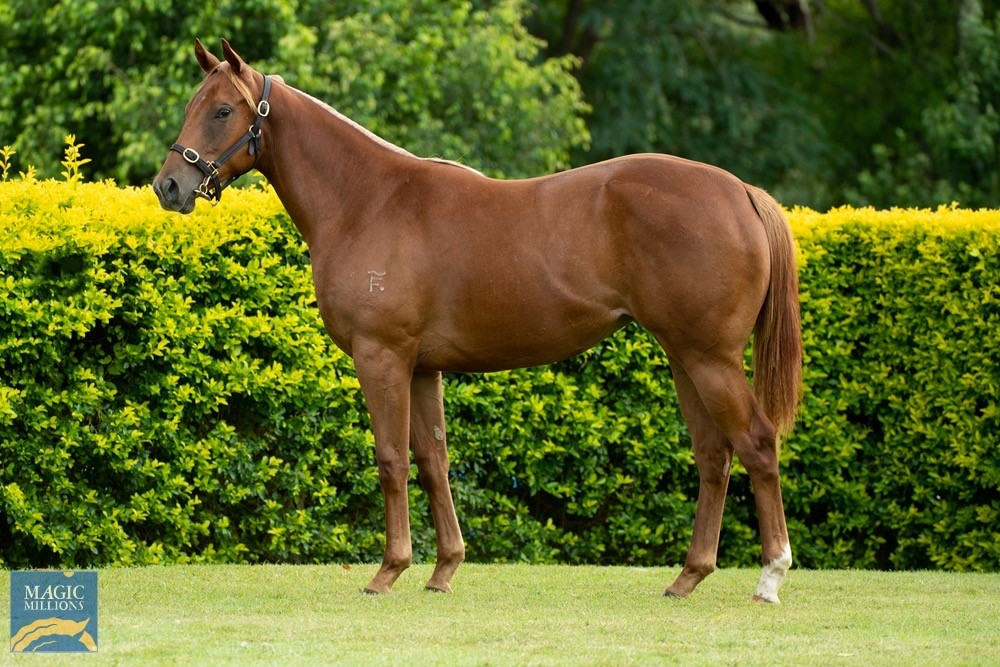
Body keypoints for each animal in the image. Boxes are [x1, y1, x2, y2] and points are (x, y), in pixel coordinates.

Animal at [153, 39, 802, 603]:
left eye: (221, 110)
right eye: (191, 107)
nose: (169, 186)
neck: (369, 200)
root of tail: (739, 191)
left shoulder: (381, 357)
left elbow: (391, 460)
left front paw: (388, 572)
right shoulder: (422, 369)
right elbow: (432, 462)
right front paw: (443, 570)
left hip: (710, 360)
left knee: (756, 443)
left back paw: (770, 577)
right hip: (684, 358)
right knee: (713, 456)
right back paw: (687, 577)